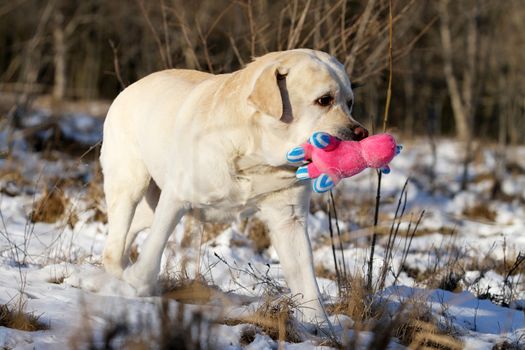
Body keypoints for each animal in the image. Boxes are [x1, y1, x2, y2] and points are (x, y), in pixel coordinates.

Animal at [99, 47, 368, 324]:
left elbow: (306, 278)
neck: (256, 155)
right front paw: (138, 282)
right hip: (130, 183)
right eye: (324, 100)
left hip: (149, 207)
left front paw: (319, 324)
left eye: (349, 102)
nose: (361, 133)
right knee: (116, 241)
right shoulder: (177, 198)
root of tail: (128, 88)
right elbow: (153, 250)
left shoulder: (289, 219)